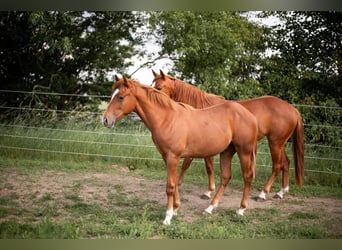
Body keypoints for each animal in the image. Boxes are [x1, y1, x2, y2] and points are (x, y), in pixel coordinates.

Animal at [103, 76, 258, 225]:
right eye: (112, 95)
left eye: (121, 97)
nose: (105, 120)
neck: (167, 118)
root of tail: (250, 115)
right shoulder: (166, 157)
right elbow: (175, 182)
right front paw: (176, 208)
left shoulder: (173, 157)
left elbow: (170, 186)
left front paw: (168, 217)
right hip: (227, 152)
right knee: (226, 177)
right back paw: (210, 208)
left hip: (244, 151)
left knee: (247, 176)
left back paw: (241, 209)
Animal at [152, 70, 304, 201]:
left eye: (159, 87)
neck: (201, 108)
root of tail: (293, 110)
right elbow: (195, 165)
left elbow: (200, 166)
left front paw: (206, 191)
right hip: (280, 143)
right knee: (286, 163)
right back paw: (281, 192)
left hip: (275, 143)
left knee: (277, 165)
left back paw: (263, 193)